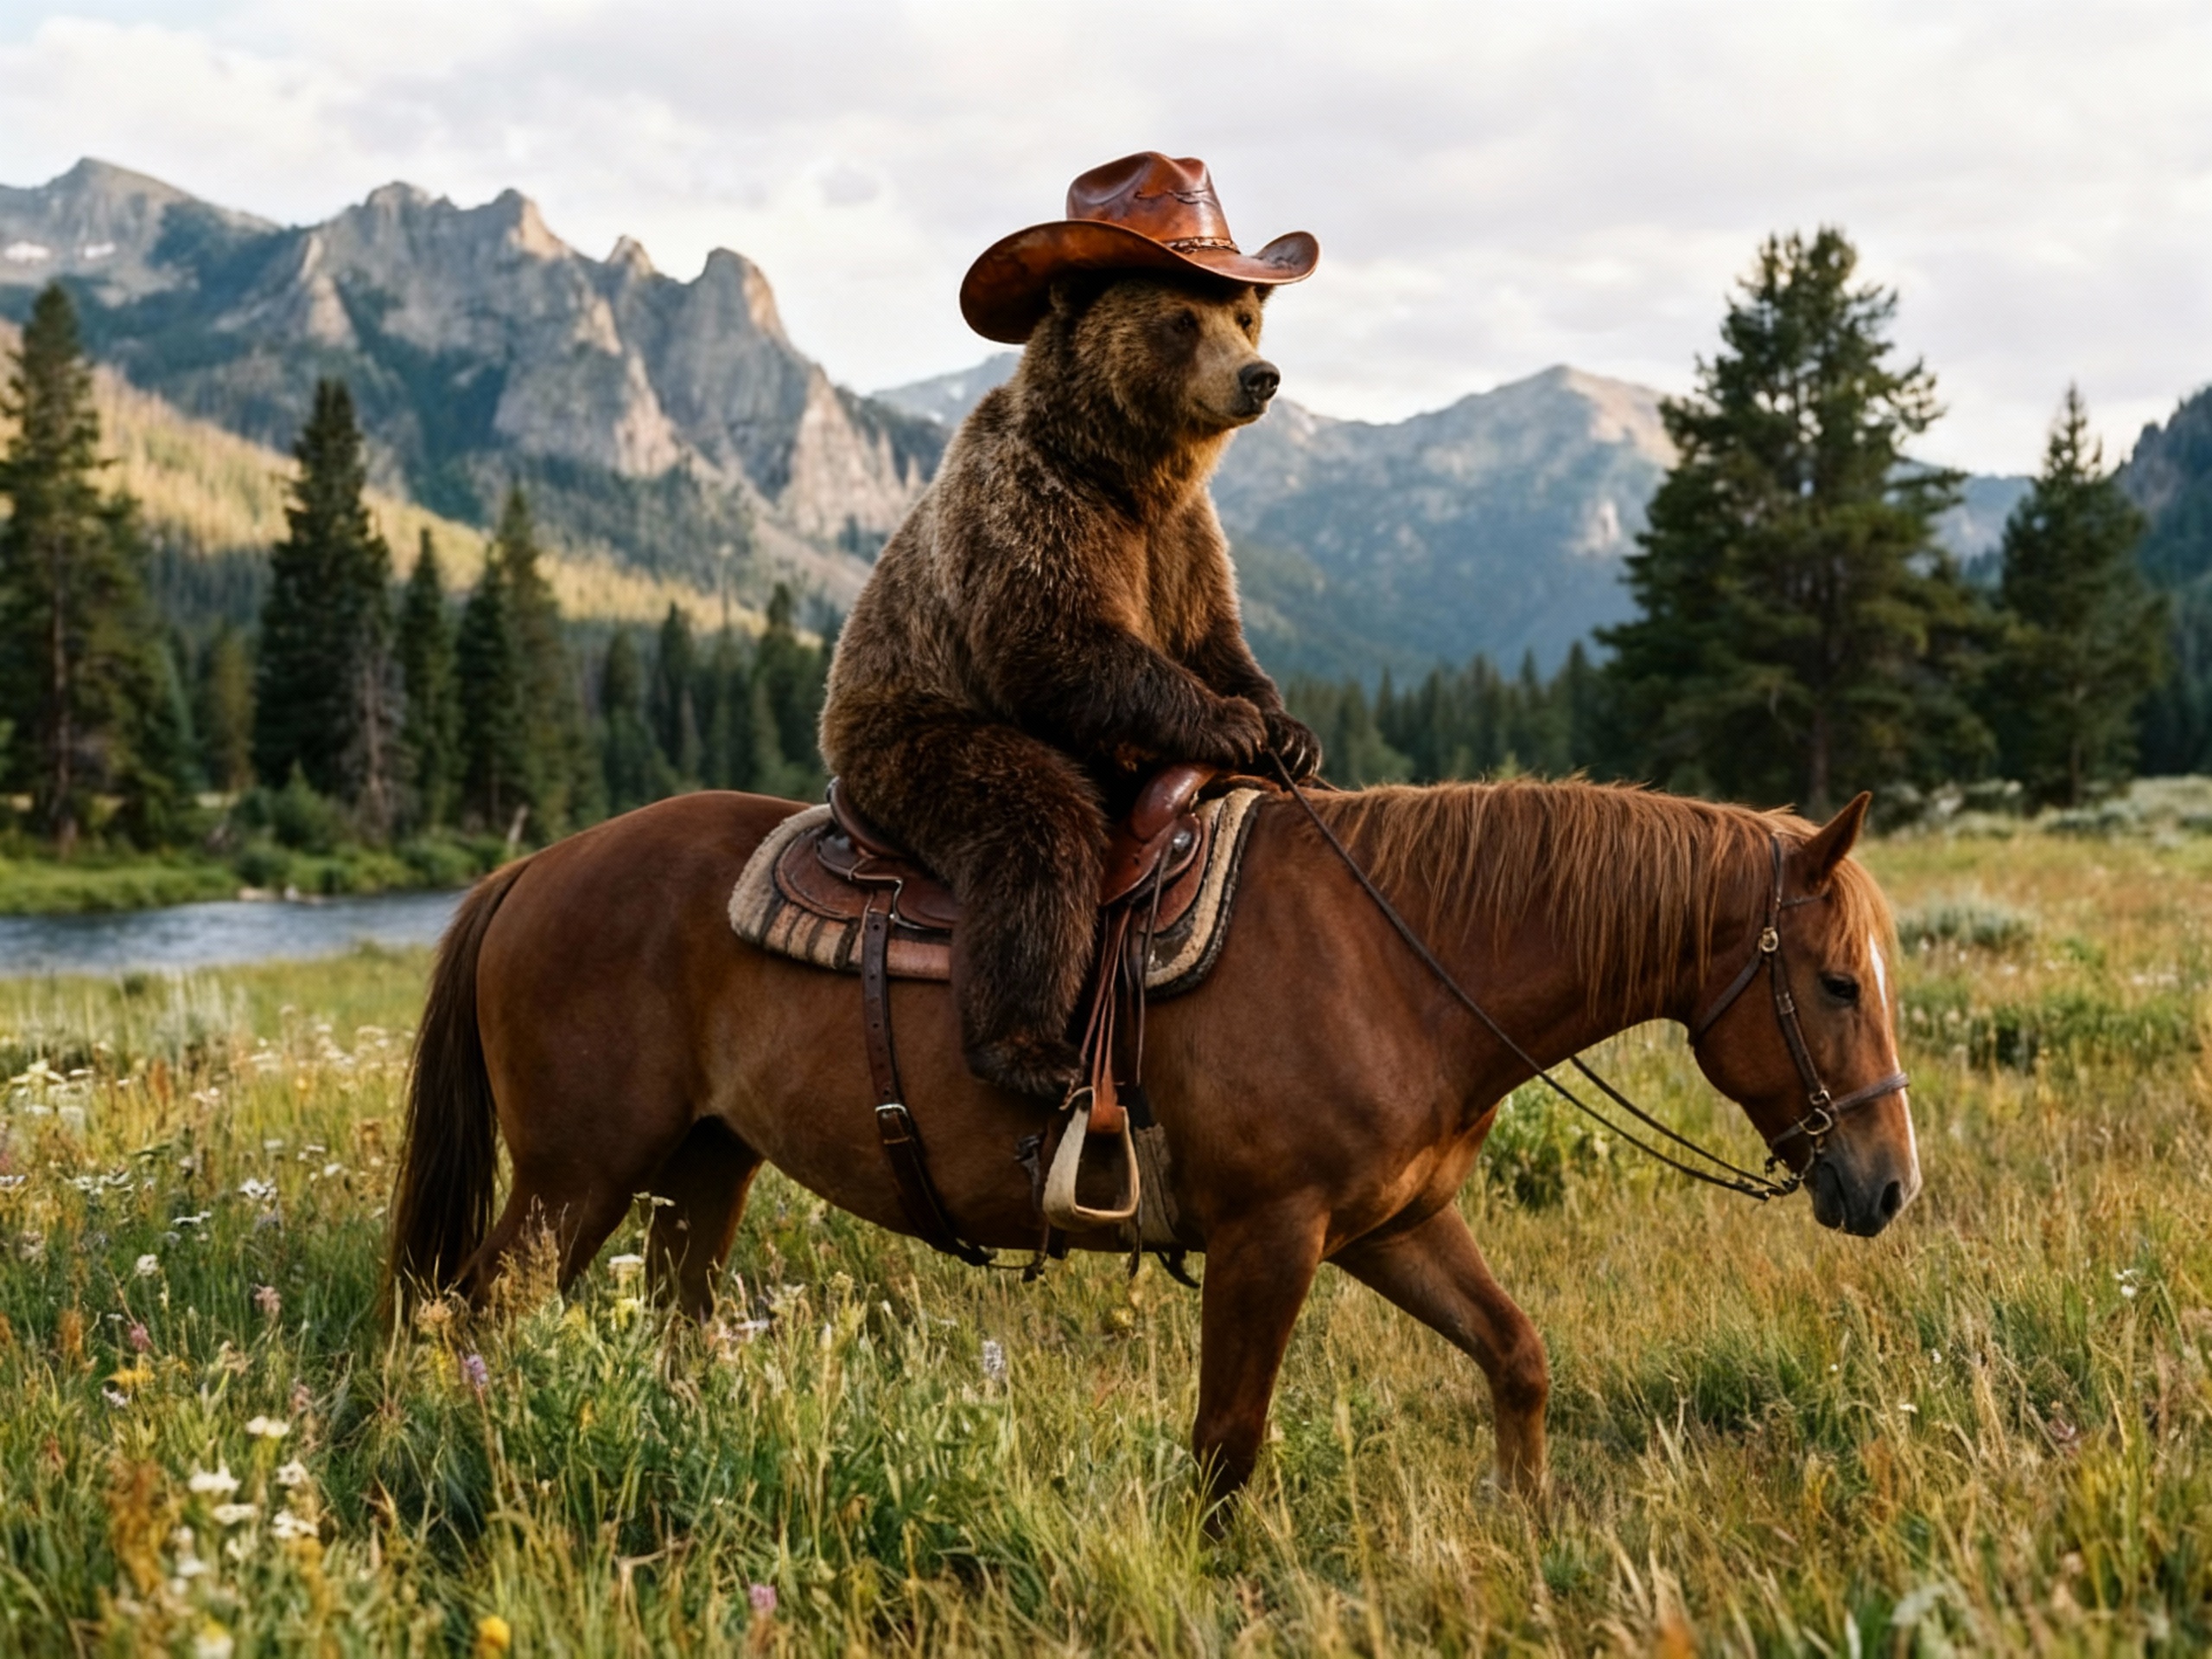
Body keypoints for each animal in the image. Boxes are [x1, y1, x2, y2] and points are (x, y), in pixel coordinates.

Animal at [819, 266, 1322, 1099]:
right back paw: (1026, 1051)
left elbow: (1212, 635)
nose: (1260, 376)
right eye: (1182, 320)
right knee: (1037, 830)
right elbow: (1057, 639)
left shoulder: (1182, 538)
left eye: (1245, 317)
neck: (1124, 474)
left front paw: (1287, 731)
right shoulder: (1033, 504)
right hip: (908, 727)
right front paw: (1231, 724)